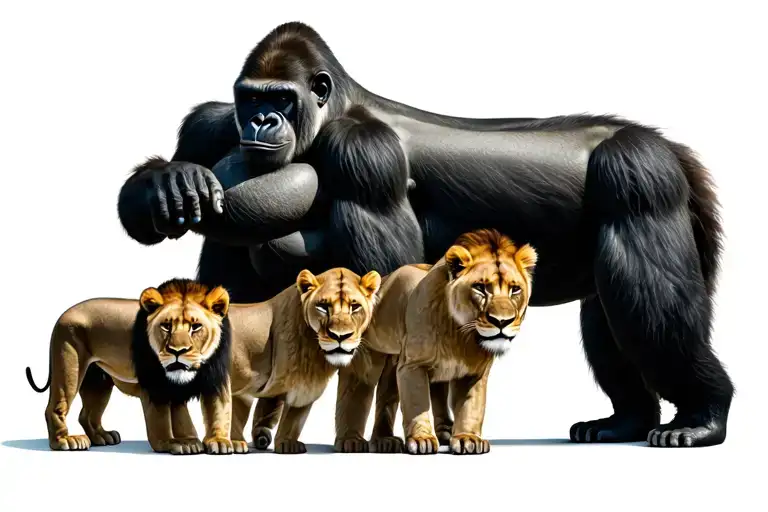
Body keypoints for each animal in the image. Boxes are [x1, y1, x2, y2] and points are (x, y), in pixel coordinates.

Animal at [26, 278, 237, 454]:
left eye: (196, 327)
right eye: (166, 326)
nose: (177, 351)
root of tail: (62, 315)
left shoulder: (214, 381)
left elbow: (216, 410)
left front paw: (215, 441)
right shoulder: (154, 387)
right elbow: (161, 419)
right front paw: (171, 443)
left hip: (98, 382)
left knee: (86, 414)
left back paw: (102, 436)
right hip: (69, 366)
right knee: (55, 407)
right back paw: (64, 441)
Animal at [333, 229, 537, 455]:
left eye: (515, 289)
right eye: (480, 287)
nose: (502, 322)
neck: (461, 335)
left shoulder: (474, 372)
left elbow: (471, 406)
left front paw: (467, 439)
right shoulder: (413, 365)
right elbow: (416, 403)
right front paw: (422, 439)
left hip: (399, 363)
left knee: (390, 395)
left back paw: (388, 439)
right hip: (370, 355)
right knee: (358, 386)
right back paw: (351, 440)